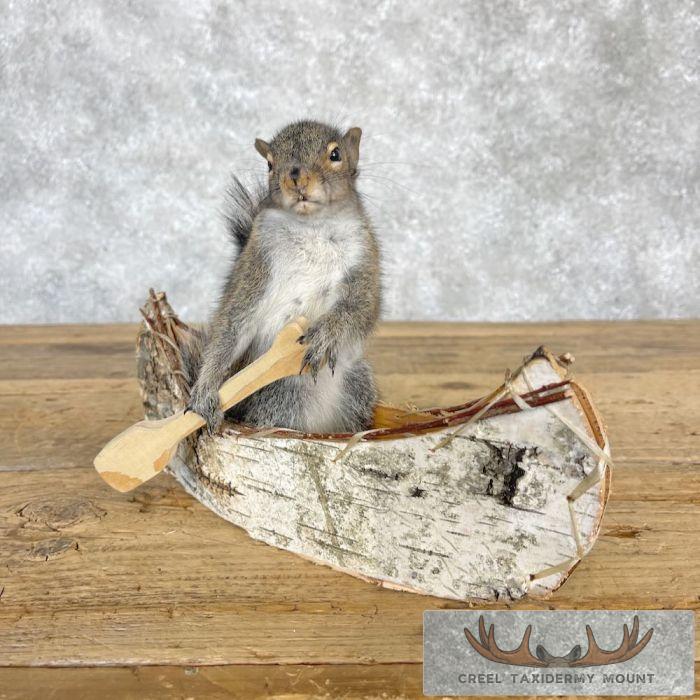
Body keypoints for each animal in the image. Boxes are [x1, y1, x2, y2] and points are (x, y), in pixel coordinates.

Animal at [185, 120, 381, 434]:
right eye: (269, 164)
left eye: (335, 154)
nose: (296, 178)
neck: (312, 225)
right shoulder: (256, 263)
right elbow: (234, 321)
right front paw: (206, 387)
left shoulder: (364, 259)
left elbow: (360, 307)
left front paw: (325, 335)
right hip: (278, 397)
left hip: (357, 386)